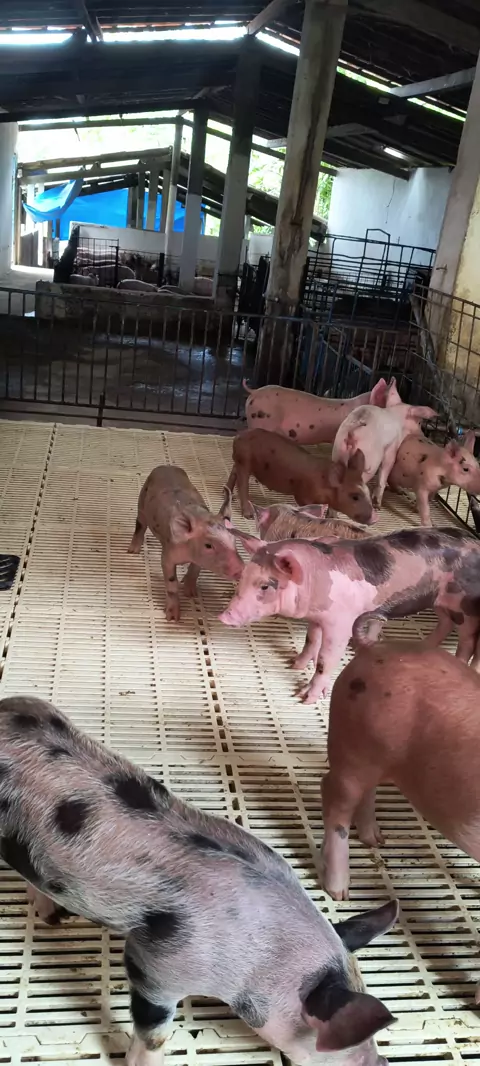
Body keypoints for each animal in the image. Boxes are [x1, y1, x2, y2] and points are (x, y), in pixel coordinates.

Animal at [0, 694, 398, 1066]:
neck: (261, 955)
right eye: (334, 1042)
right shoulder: (155, 965)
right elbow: (156, 1033)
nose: (382, 1060)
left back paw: (54, 917)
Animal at [128, 466, 242, 621]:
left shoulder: (198, 559)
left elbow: (195, 570)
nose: (241, 569)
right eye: (208, 545)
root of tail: (165, 467)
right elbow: (171, 583)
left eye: (234, 539)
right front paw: (173, 618)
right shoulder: (168, 554)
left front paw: (191, 594)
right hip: (142, 502)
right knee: (140, 524)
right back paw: (132, 551)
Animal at [219, 526, 480, 703]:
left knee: (467, 640)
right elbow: (311, 641)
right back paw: (425, 646)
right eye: (244, 576)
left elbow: (327, 658)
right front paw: (294, 665)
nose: (224, 616)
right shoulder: (317, 618)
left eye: (265, 586)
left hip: (465, 606)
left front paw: (305, 697)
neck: (315, 579)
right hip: (440, 602)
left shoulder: (341, 622)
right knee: (445, 623)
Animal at [226, 429, 376, 525]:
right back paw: (249, 515)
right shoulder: (303, 494)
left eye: (368, 493)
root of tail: (239, 436)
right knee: (242, 483)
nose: (375, 518)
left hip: (239, 461)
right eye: (355, 496)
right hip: (245, 460)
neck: (324, 482)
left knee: (234, 472)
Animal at [332, 380, 437, 509]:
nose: (422, 434)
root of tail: (352, 434)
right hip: (370, 461)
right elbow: (387, 465)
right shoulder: (393, 444)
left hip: (338, 452)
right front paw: (378, 504)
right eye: (419, 422)